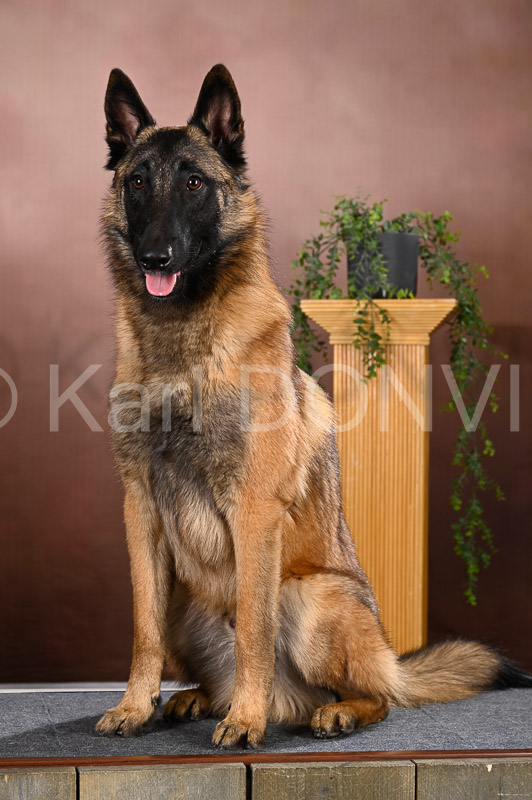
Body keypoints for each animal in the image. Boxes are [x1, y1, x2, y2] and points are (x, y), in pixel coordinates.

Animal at [95, 64, 531, 748]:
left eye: (194, 183)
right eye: (137, 183)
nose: (154, 258)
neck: (183, 344)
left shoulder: (253, 512)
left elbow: (253, 629)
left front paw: (246, 723)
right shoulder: (139, 510)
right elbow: (143, 630)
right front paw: (136, 706)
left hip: (310, 599)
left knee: (377, 696)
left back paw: (318, 712)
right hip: (186, 599)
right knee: (207, 664)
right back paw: (201, 699)